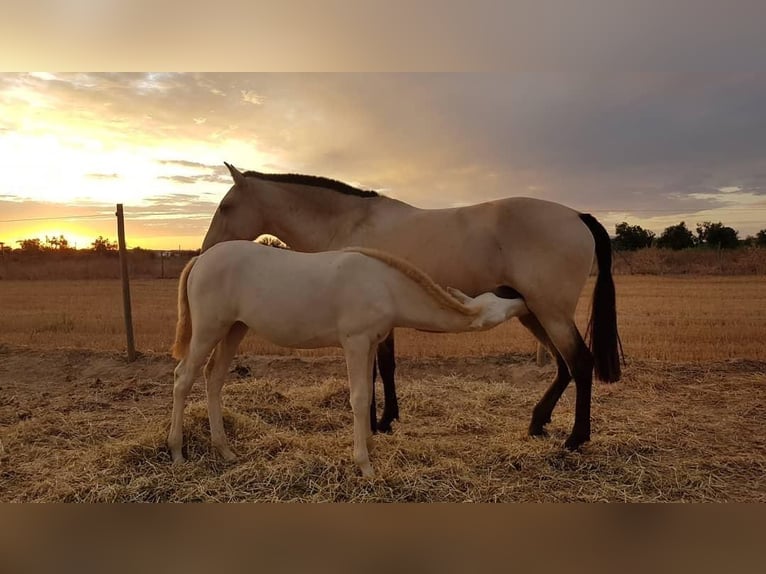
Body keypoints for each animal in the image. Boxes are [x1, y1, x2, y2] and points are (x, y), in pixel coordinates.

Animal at [201, 164, 620, 452]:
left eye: (226, 206)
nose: (205, 250)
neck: (349, 223)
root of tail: (577, 216)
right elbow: (386, 368)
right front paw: (386, 420)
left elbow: (374, 372)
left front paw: (374, 423)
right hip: (533, 313)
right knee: (564, 365)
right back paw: (538, 422)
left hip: (550, 312)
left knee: (580, 363)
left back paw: (575, 439)